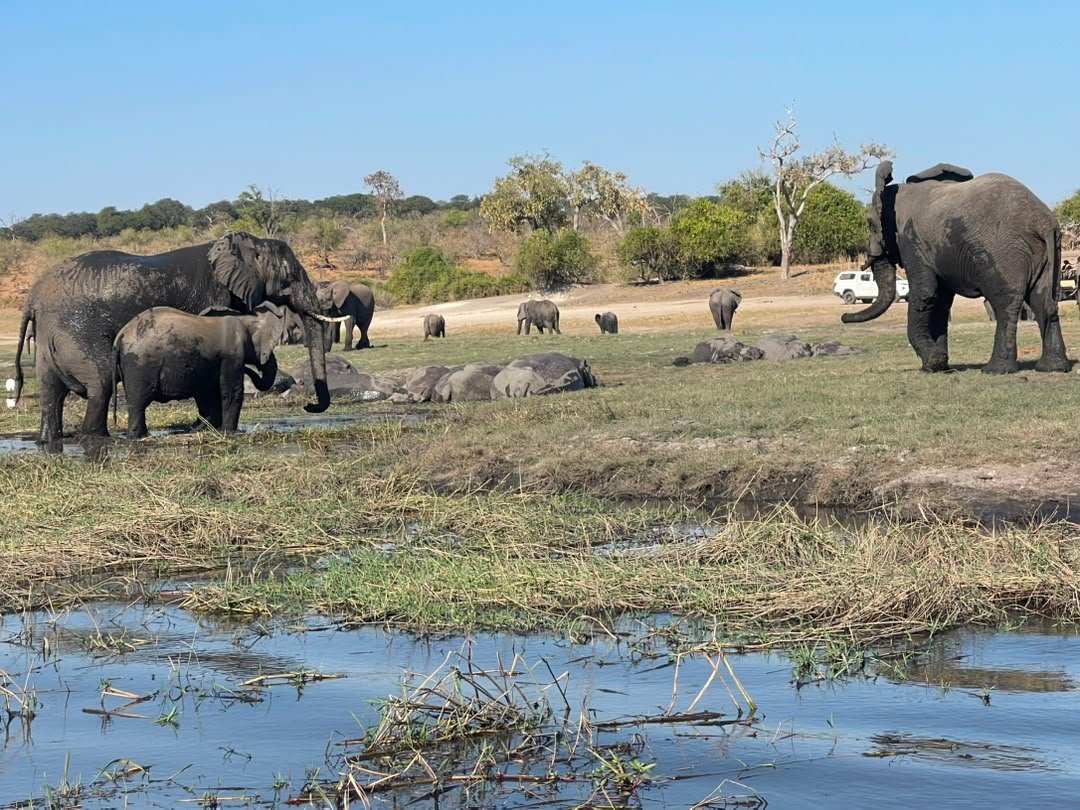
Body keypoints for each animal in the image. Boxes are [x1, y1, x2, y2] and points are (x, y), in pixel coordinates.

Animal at [112, 303, 287, 438]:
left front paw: (204, 428)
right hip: (139, 365)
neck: (244, 319)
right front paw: (228, 432)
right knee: (138, 403)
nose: (252, 368)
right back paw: (139, 436)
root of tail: (121, 335)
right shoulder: (232, 356)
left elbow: (207, 393)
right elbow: (231, 392)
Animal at [842, 161, 1069, 374]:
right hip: (1049, 252)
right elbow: (941, 300)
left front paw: (933, 362)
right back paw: (1054, 367)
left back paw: (995, 370)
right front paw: (939, 366)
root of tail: (1043, 222)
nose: (844, 317)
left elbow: (925, 292)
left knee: (1005, 304)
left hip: (1005, 253)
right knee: (1043, 301)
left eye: (870, 224)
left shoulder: (911, 240)